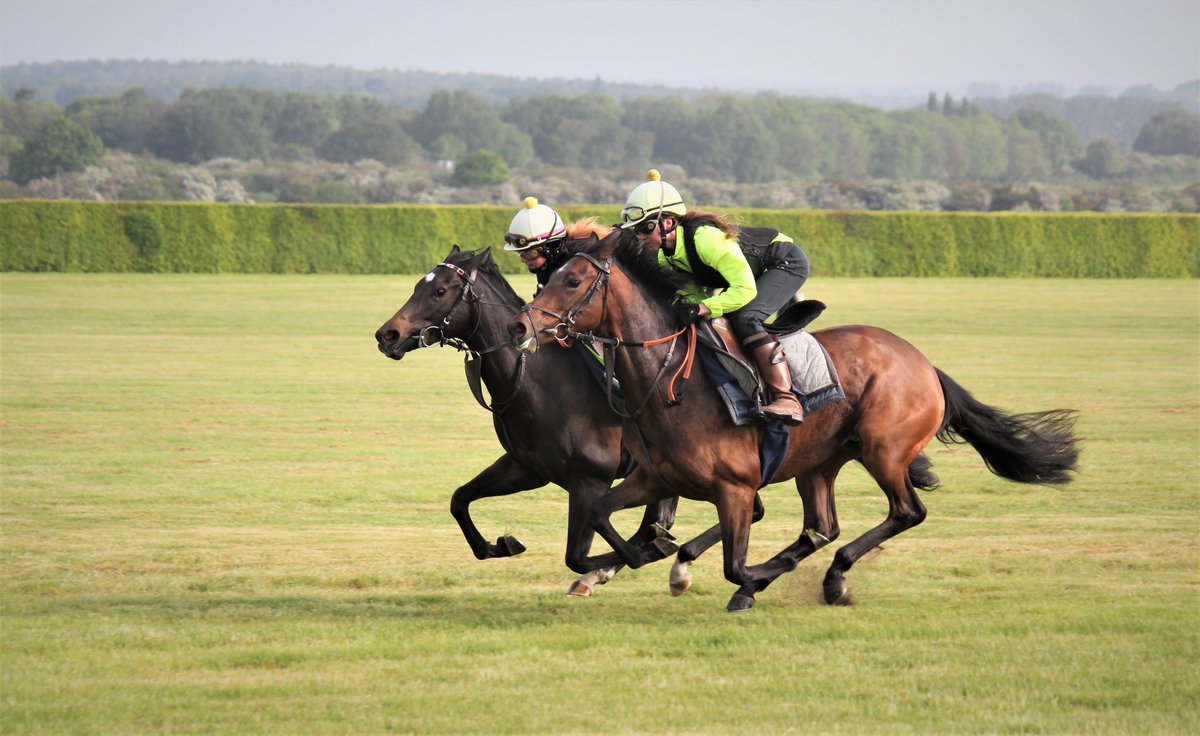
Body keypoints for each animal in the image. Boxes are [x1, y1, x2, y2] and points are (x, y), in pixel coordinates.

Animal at [374, 237, 744, 596]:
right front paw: (503, 544)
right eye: (418, 285)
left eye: (439, 291)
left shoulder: (590, 480)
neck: (534, 380)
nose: (387, 335)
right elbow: (459, 501)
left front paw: (627, 561)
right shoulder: (526, 468)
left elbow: (578, 556)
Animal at [508, 229, 1080, 612]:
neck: (669, 380)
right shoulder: (655, 478)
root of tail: (924, 364)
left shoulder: (735, 487)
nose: (519, 325)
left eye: (573, 279)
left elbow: (733, 562)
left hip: (884, 451)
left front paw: (723, 576)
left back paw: (831, 579)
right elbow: (600, 516)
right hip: (819, 463)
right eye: (548, 277)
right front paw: (619, 564)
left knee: (905, 513)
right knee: (822, 527)